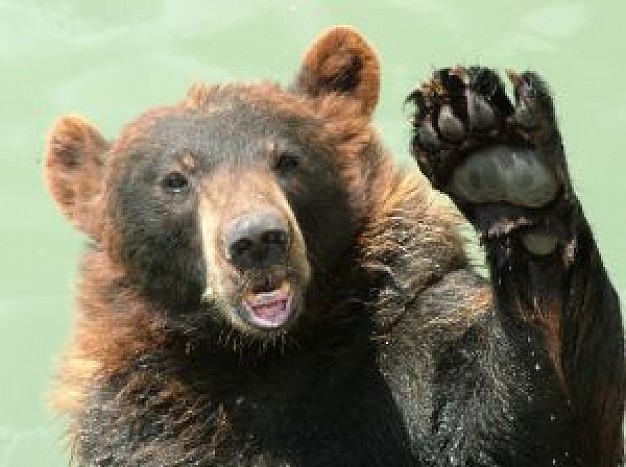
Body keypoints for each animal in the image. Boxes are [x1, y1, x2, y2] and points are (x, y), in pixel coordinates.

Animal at [44, 26, 620, 467]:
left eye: (286, 158)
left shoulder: (407, 332)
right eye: (175, 180)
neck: (270, 356)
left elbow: (519, 426)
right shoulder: (148, 421)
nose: (257, 240)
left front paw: (493, 151)